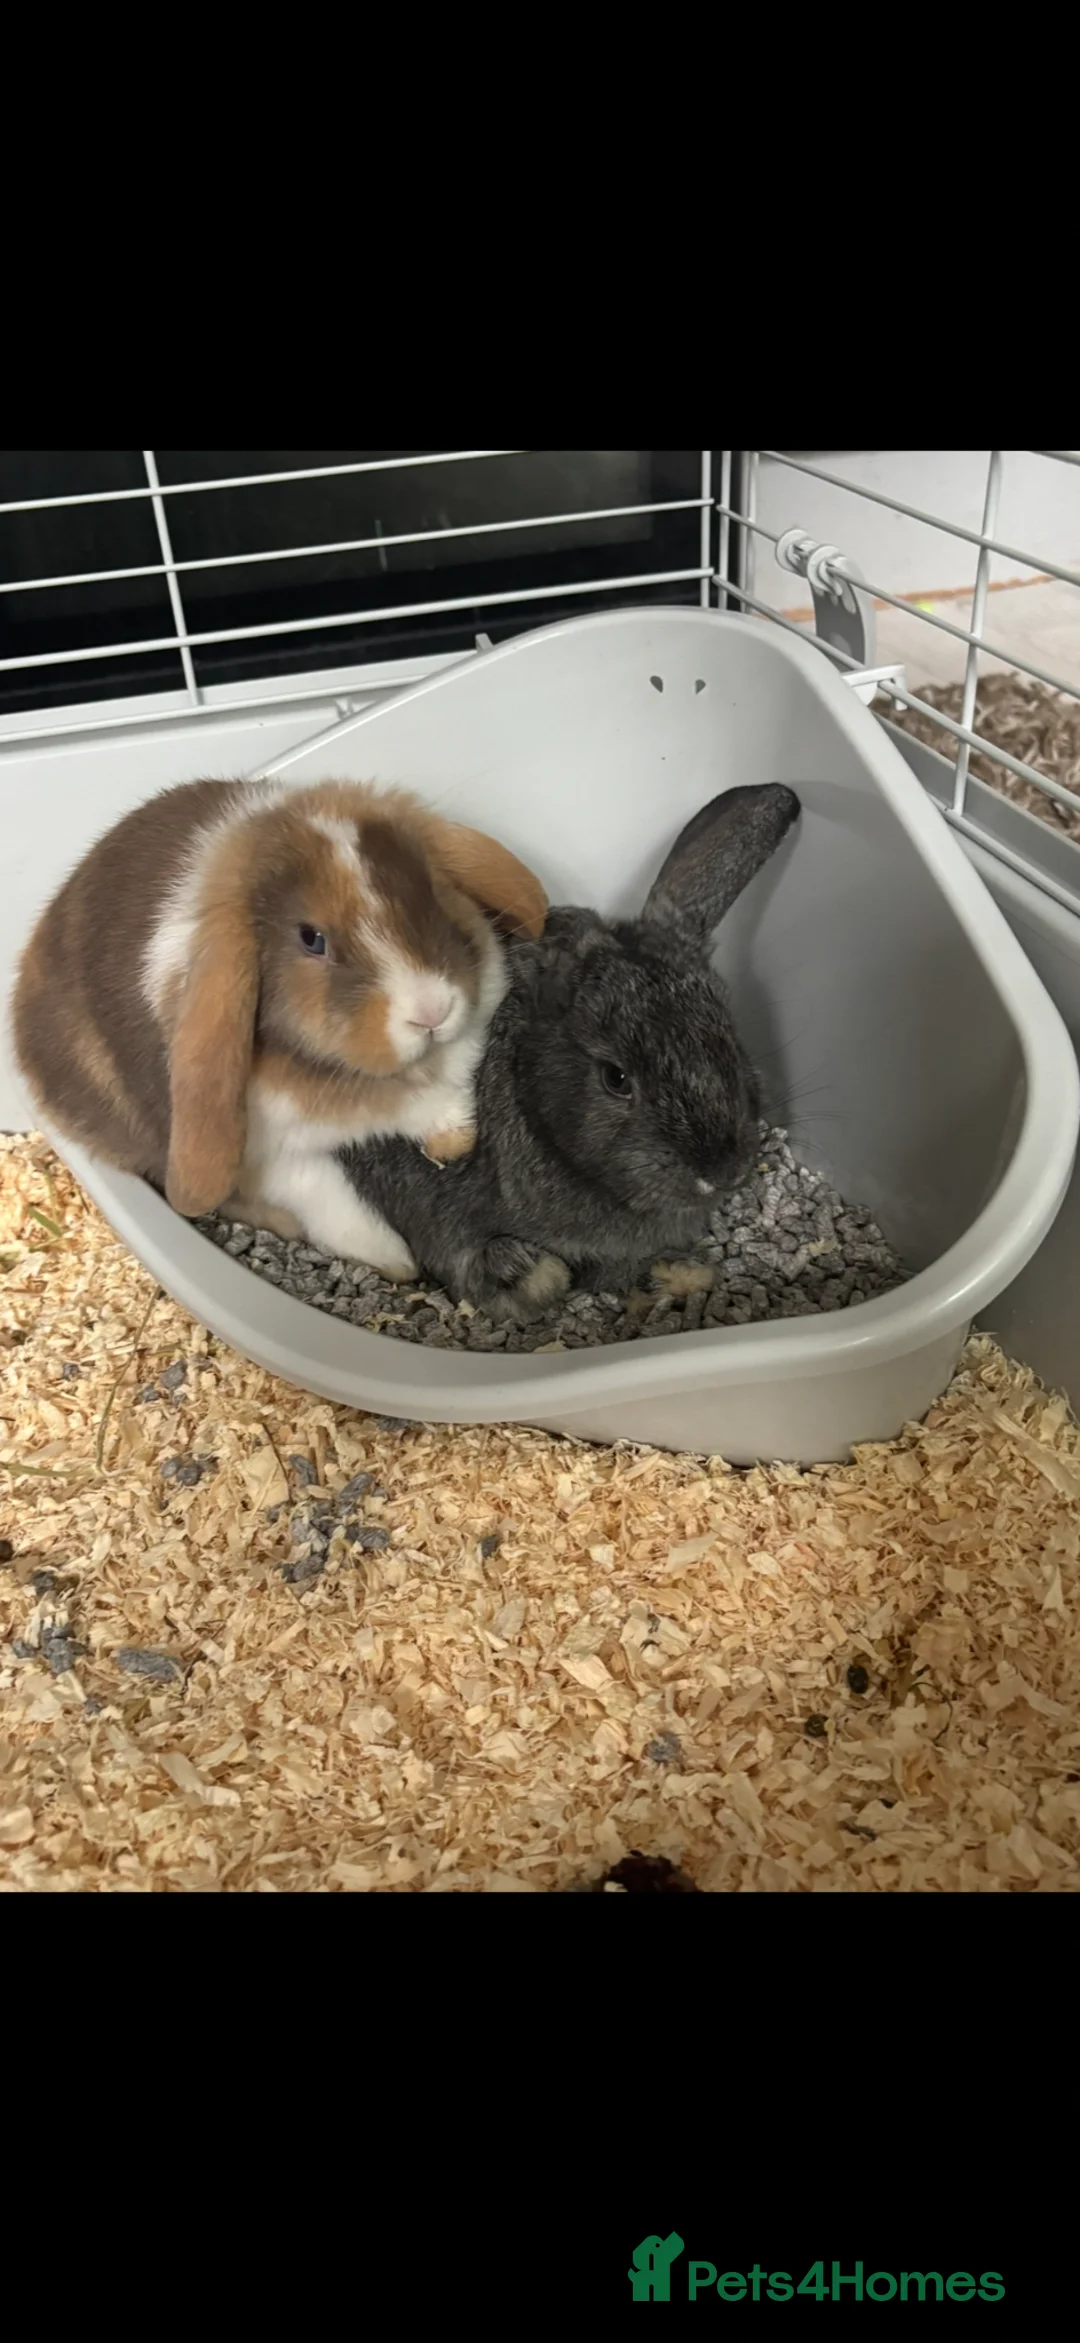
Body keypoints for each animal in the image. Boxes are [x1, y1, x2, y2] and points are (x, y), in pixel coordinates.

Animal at [12, 776, 548, 1278]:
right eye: (311, 939)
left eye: (430, 893)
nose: (432, 1010)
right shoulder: (278, 1161)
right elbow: (333, 1203)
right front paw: (396, 1262)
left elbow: (445, 1103)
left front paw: (452, 1144)